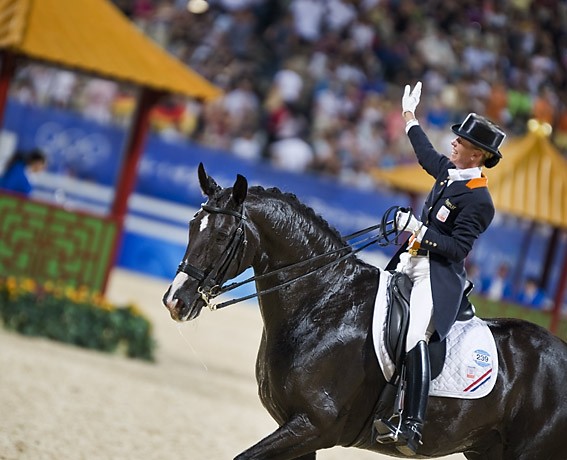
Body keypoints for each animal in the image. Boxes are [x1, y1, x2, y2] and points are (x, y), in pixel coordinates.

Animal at [163, 164, 567, 458]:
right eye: (191, 225)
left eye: (221, 235)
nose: (175, 300)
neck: (322, 304)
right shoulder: (294, 428)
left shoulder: (312, 426)